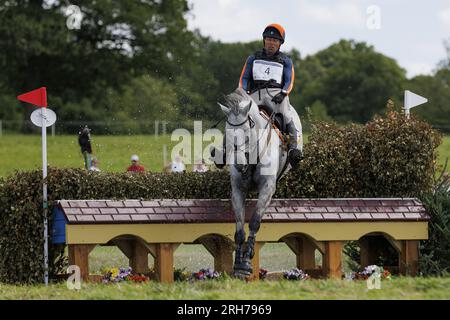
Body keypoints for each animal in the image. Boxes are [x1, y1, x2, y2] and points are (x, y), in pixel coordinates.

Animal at [215, 88, 302, 278]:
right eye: (227, 133)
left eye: (247, 134)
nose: (240, 165)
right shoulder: (238, 190)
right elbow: (239, 228)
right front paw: (239, 264)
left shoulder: (267, 188)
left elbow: (254, 221)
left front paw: (248, 257)